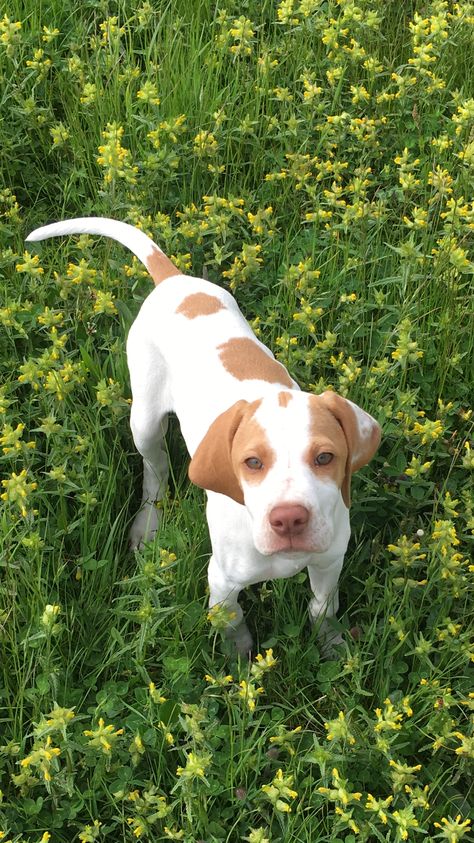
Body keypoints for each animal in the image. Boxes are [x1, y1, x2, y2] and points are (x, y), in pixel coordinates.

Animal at [25, 218, 382, 652]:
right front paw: (237, 656)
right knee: (155, 470)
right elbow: (230, 620)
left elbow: (322, 605)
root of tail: (174, 280)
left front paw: (331, 643)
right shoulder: (222, 579)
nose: (289, 520)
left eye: (325, 458)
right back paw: (148, 524)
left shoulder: (330, 560)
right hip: (144, 418)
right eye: (252, 463)